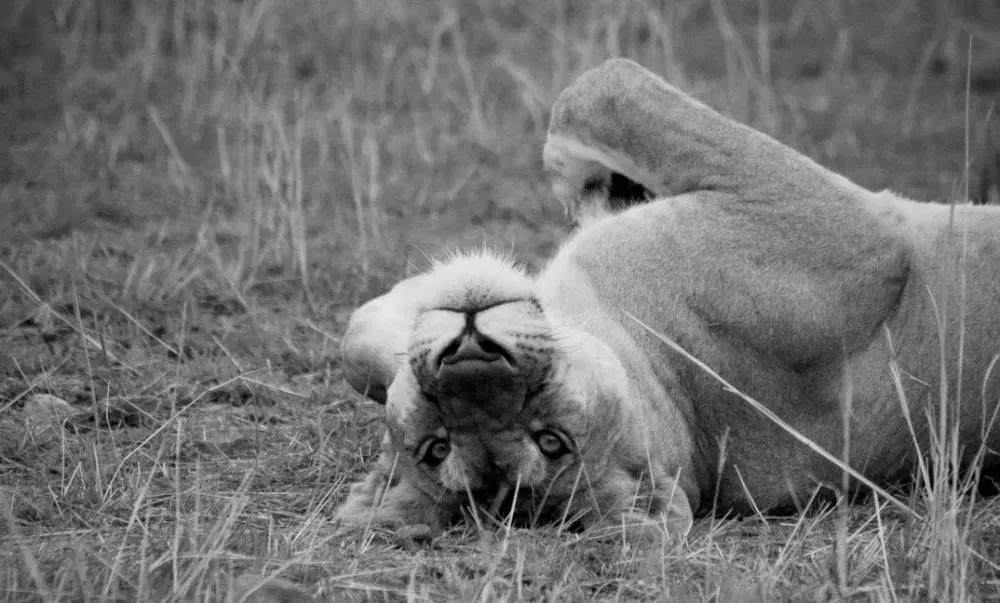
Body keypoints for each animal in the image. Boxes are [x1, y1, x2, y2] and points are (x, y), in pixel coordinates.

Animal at [336, 58, 1000, 542]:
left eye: (551, 441)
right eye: (439, 445)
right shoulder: (864, 240)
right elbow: (601, 87)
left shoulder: (862, 237)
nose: (470, 351)